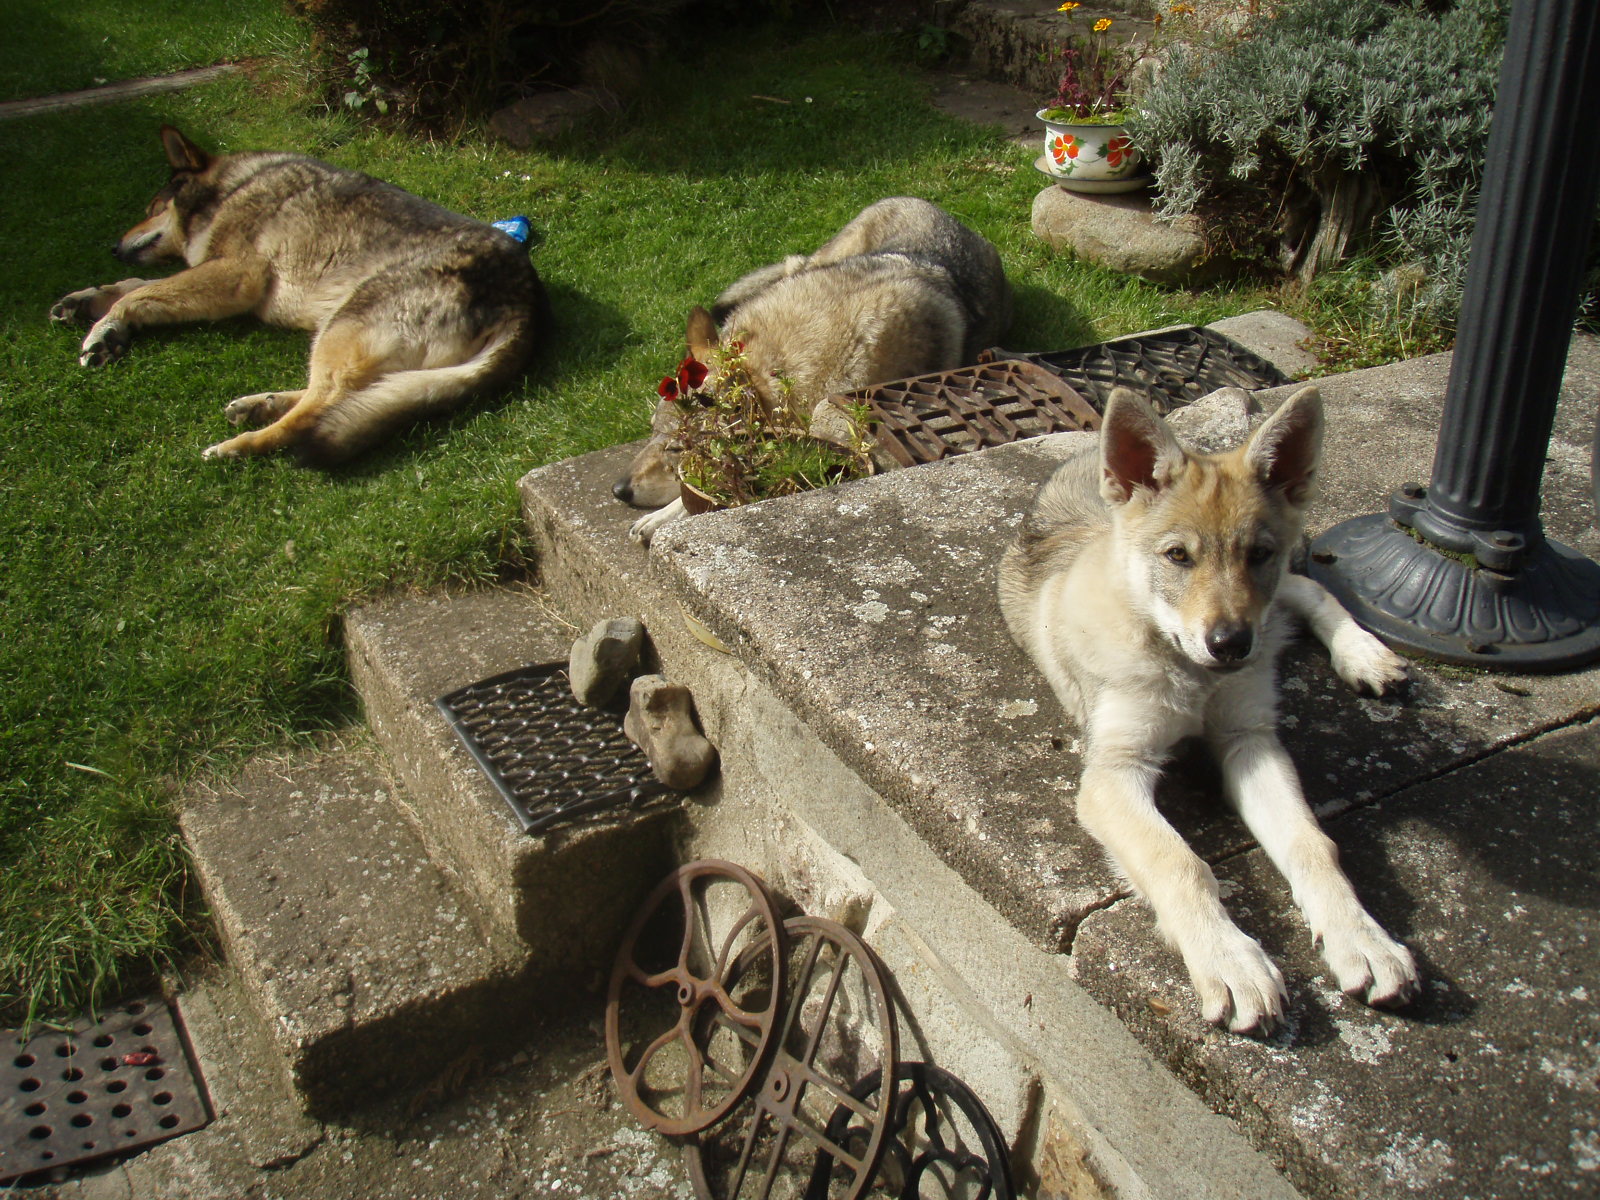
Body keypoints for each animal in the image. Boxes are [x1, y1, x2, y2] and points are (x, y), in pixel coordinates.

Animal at [50, 126, 549, 463]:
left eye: (154, 207)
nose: (113, 247)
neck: (234, 186)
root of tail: (525, 305)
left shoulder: (234, 275)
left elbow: (143, 292)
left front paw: (105, 328)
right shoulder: (210, 269)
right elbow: (138, 287)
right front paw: (85, 300)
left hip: (344, 324)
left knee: (318, 411)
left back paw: (239, 445)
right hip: (342, 334)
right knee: (344, 393)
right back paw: (260, 405)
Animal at [618, 196, 1011, 541]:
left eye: (677, 449)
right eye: (651, 431)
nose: (617, 489)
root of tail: (932, 207)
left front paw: (662, 517)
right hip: (823, 258)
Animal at [998, 385, 1421, 1035]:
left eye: (1258, 554)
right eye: (1177, 556)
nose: (1231, 644)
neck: (1189, 673)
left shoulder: (1252, 741)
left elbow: (1310, 843)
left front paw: (1363, 939)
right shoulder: (1114, 772)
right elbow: (1179, 861)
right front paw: (1230, 960)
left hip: (1277, 608)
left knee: (1307, 590)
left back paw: (1365, 656)